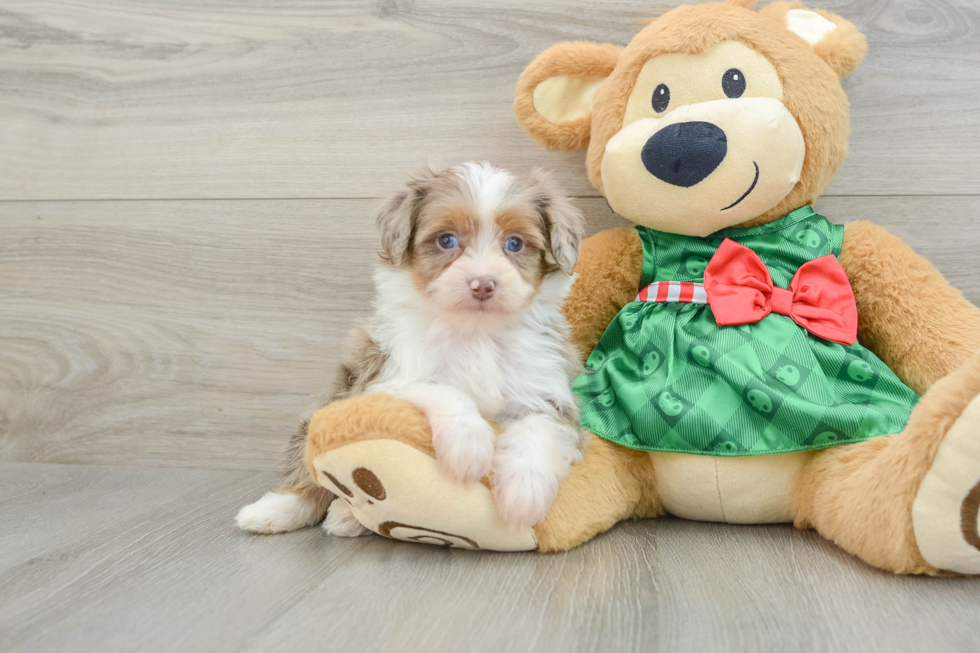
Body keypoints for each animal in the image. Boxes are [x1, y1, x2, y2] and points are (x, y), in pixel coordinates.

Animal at [237, 162, 584, 536]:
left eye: (515, 243)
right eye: (446, 240)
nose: (483, 284)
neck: (475, 333)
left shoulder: (545, 389)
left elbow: (538, 429)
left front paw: (524, 496)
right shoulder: (385, 376)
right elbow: (441, 388)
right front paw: (469, 446)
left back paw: (347, 515)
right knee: (309, 473)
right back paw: (278, 509)